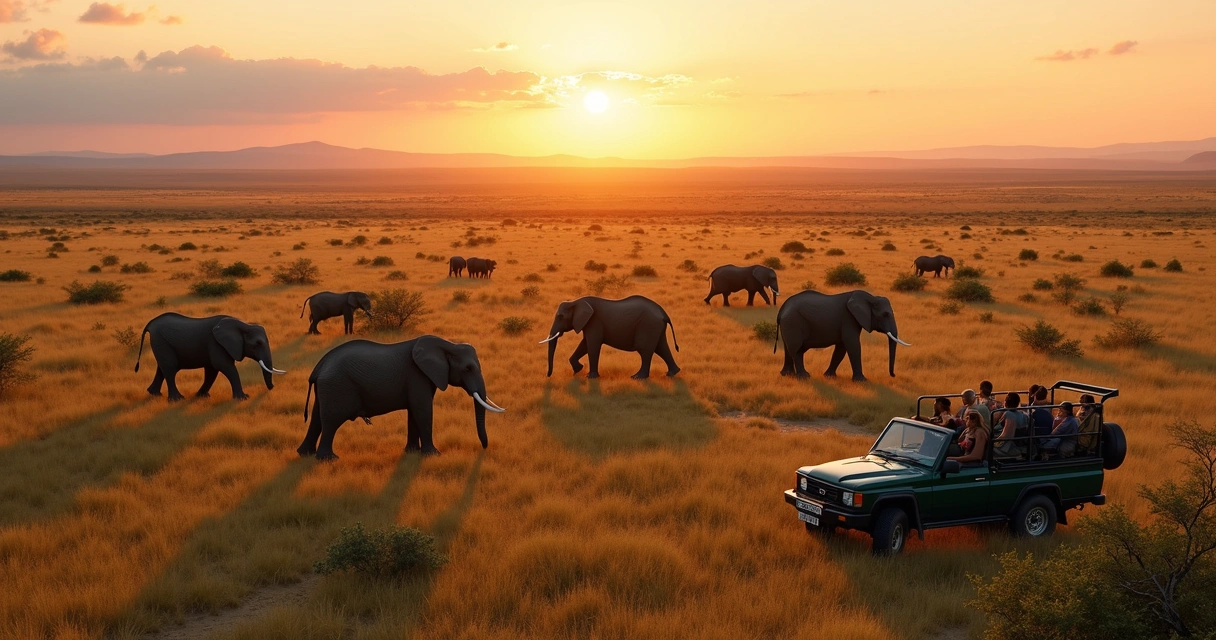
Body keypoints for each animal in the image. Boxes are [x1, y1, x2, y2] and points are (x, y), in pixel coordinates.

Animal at [134, 313, 286, 402]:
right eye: (257, 344)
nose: (272, 388)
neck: (243, 325)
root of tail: (150, 324)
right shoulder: (216, 343)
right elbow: (224, 366)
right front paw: (243, 398)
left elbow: (212, 370)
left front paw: (202, 397)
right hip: (161, 341)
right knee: (170, 368)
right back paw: (177, 399)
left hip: (161, 343)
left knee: (162, 368)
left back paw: (154, 394)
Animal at [297, 335, 505, 460]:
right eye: (468, 368)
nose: (484, 448)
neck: (448, 344)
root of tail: (319, 367)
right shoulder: (417, 375)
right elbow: (423, 410)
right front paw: (434, 455)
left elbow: (414, 412)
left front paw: (412, 452)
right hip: (337, 386)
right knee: (331, 420)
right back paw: (328, 459)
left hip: (327, 388)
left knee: (317, 419)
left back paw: (305, 454)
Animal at [541, 295, 680, 379]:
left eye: (561, 317)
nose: (548, 375)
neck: (576, 301)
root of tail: (663, 312)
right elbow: (584, 344)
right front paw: (578, 370)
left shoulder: (594, 322)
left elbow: (592, 345)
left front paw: (590, 377)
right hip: (655, 327)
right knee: (661, 348)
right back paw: (672, 373)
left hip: (648, 325)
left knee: (645, 350)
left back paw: (637, 378)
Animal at [774, 290, 910, 381]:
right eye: (885, 314)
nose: (893, 375)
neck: (871, 298)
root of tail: (782, 309)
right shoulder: (849, 319)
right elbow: (853, 345)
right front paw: (862, 381)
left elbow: (841, 348)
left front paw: (829, 376)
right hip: (793, 323)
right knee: (796, 350)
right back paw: (804, 377)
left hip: (788, 324)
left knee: (788, 349)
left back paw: (787, 374)